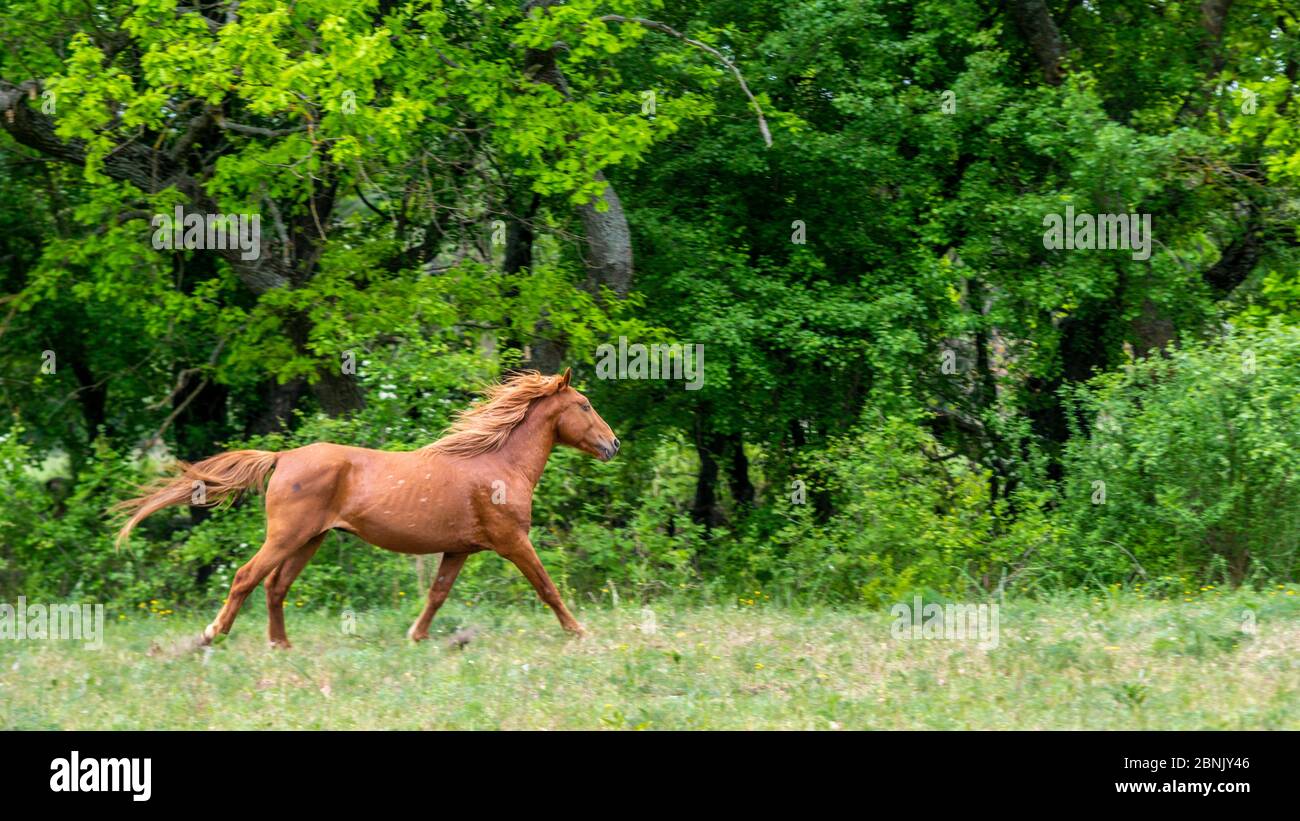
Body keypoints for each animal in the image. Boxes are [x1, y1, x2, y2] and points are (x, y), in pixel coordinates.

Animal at [113, 371, 618, 646]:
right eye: (584, 404)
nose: (613, 444)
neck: (497, 463)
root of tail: (283, 457)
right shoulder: (512, 541)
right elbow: (548, 588)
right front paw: (579, 632)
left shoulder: (460, 549)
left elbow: (437, 594)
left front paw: (416, 636)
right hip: (287, 536)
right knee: (246, 577)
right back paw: (212, 635)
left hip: (309, 540)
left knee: (276, 587)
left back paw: (282, 645)